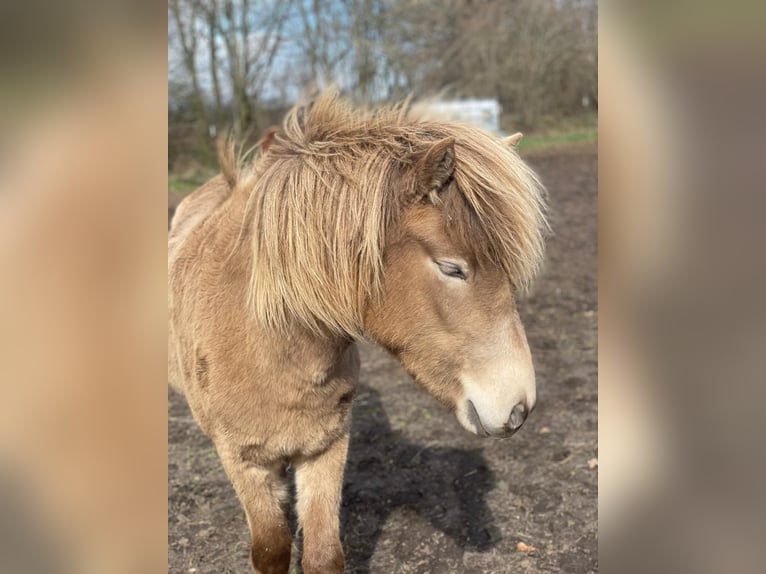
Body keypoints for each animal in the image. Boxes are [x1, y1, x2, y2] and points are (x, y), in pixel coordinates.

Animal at [168, 91, 547, 574]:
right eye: (451, 268)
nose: (519, 409)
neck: (267, 345)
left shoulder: (325, 448)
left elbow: (324, 554)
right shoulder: (243, 461)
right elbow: (271, 549)